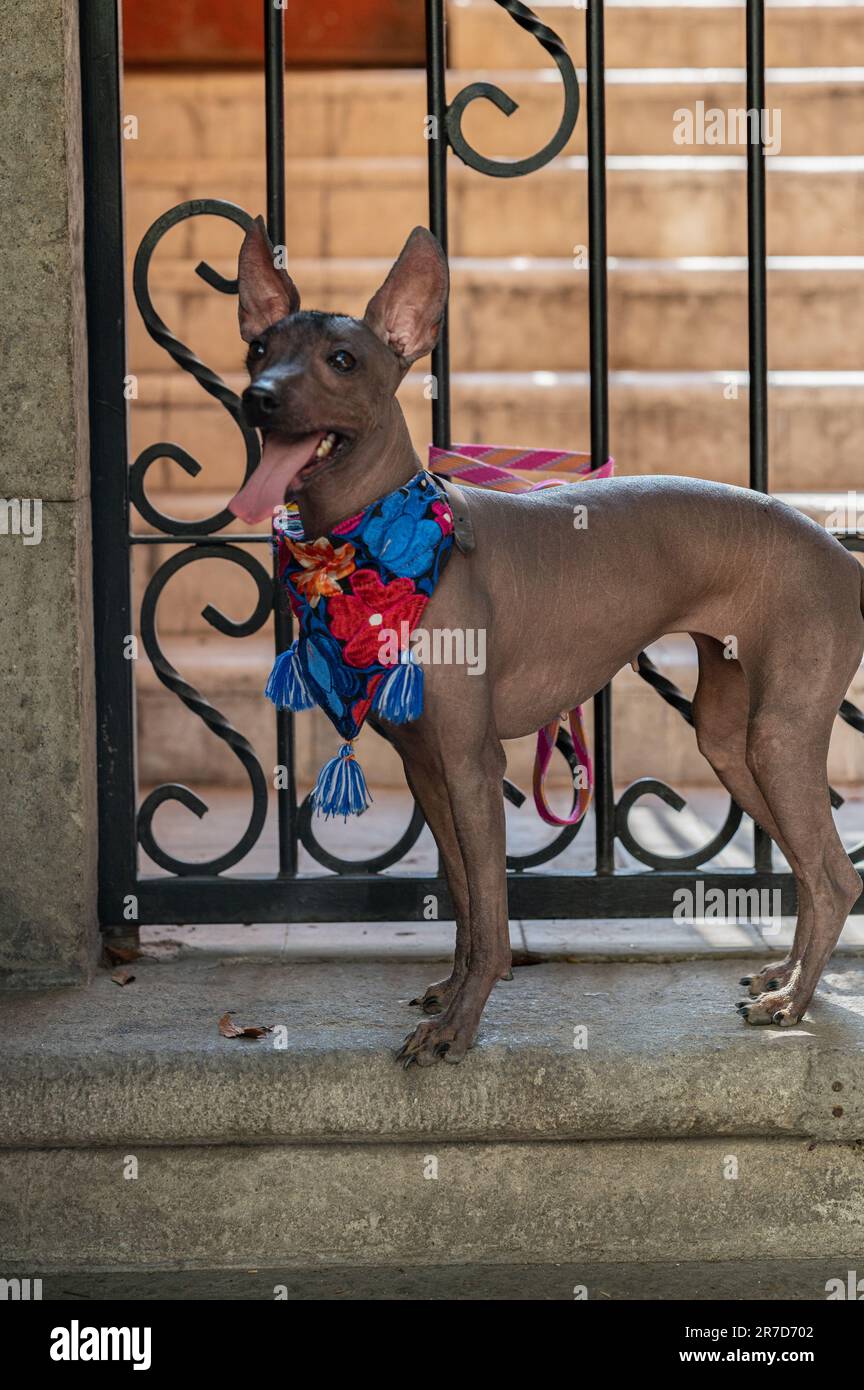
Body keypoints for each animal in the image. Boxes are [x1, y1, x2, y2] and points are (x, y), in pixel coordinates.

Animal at [230, 216, 864, 1061]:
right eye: (259, 349)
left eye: (342, 360)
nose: (258, 397)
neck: (382, 539)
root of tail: (842, 556)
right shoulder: (431, 770)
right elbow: (466, 902)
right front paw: (450, 993)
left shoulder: (473, 765)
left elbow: (493, 917)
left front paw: (458, 1029)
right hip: (732, 745)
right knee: (809, 864)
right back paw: (788, 978)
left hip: (781, 735)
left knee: (835, 874)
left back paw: (794, 1001)